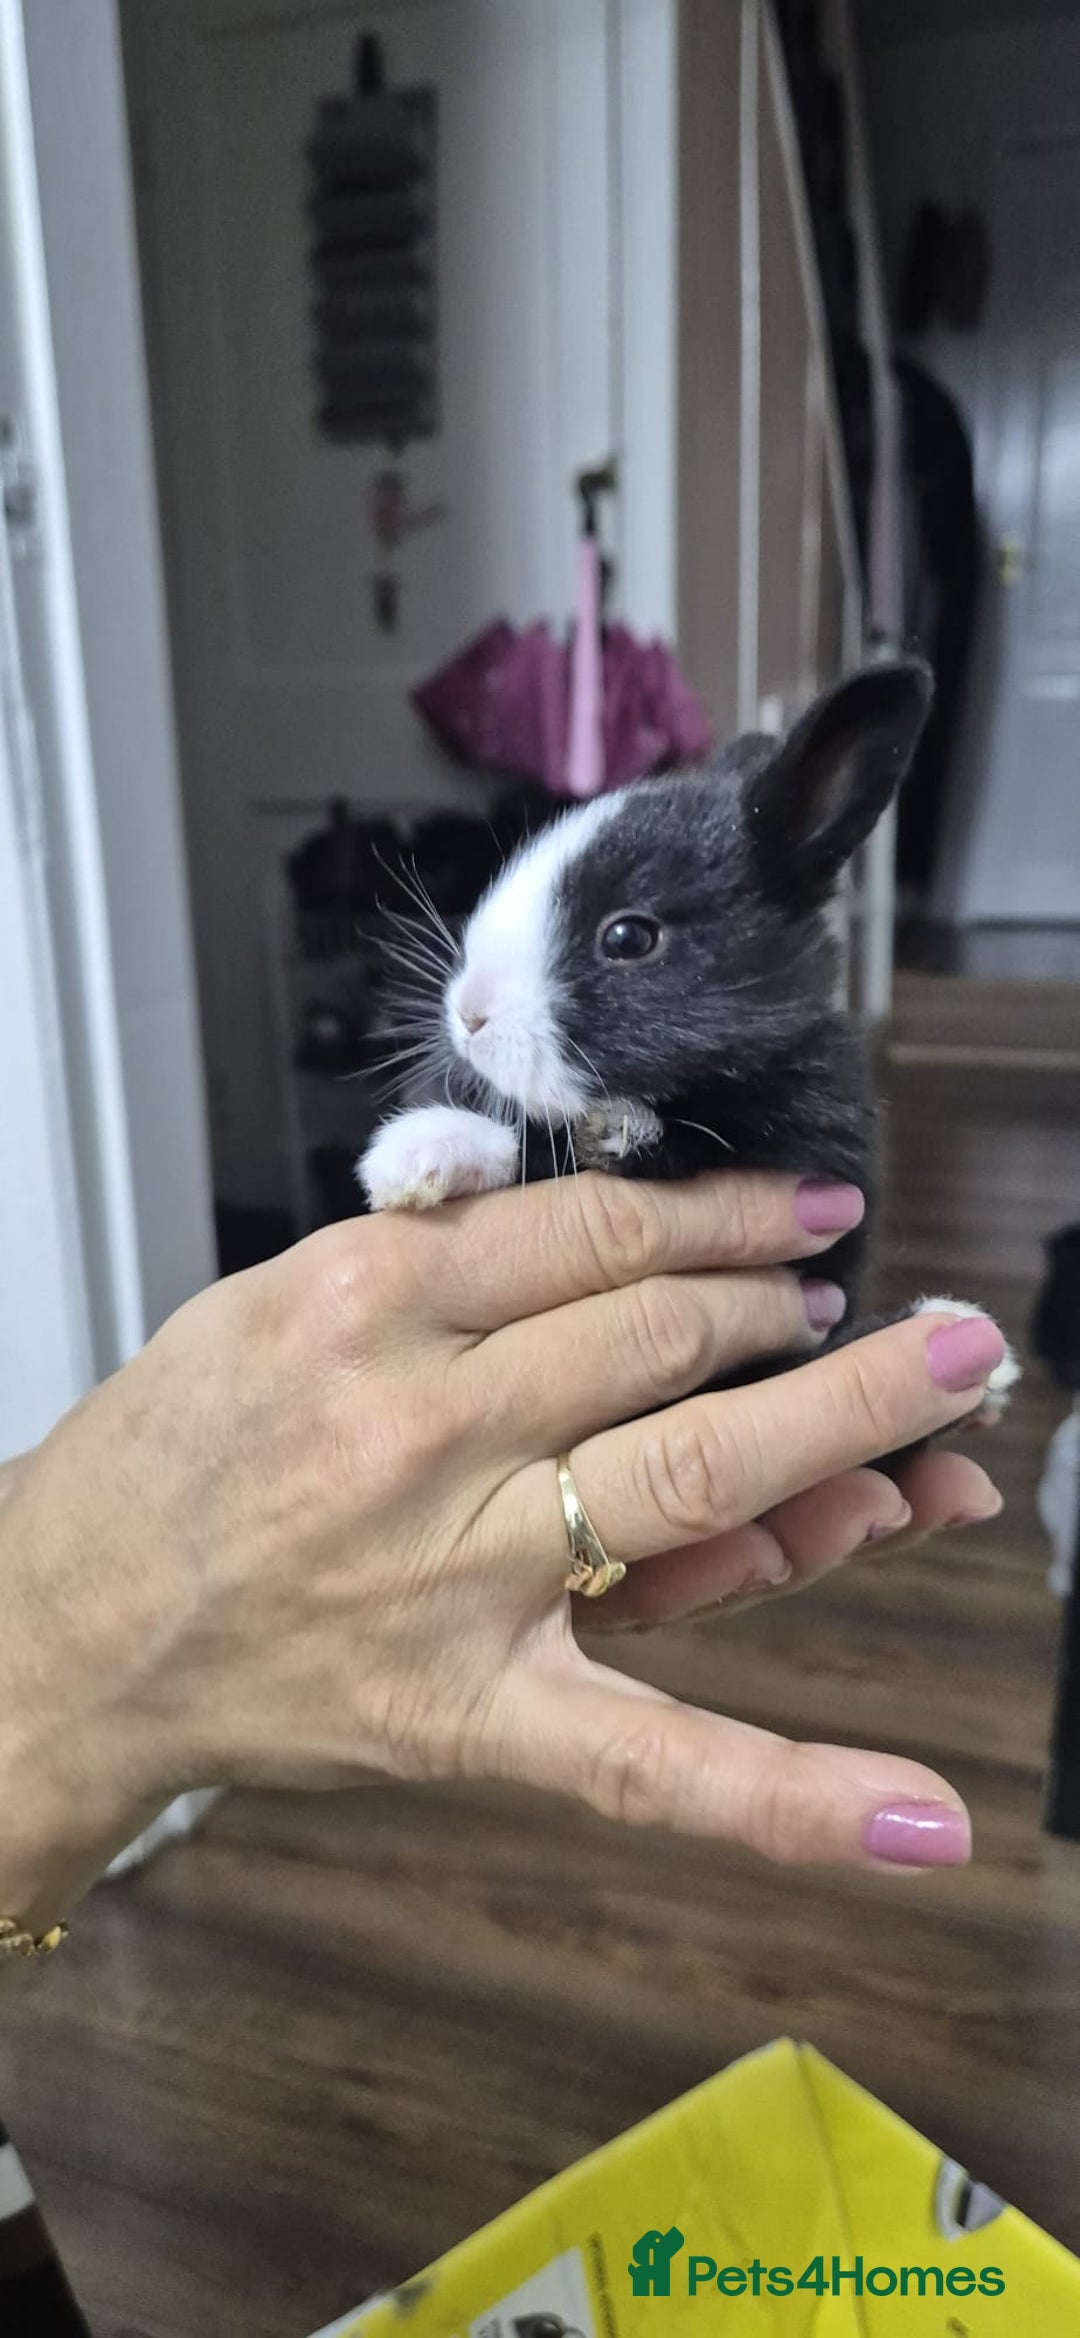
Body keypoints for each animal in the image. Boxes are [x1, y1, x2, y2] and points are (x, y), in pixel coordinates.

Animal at [358, 659, 1017, 1417]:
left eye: (628, 938)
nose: (470, 1016)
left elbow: (574, 1149)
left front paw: (420, 1150)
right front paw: (414, 1158)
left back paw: (971, 1345)